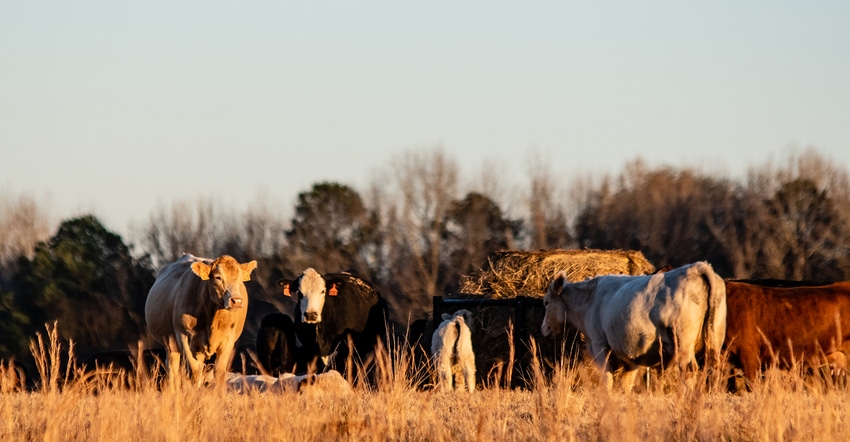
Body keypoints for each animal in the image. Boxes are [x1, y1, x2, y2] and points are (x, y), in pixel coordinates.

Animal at [145, 254, 255, 386]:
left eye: (240, 279)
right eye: (218, 277)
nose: (236, 301)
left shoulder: (228, 339)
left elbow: (219, 371)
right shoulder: (185, 335)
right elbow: (194, 370)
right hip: (171, 344)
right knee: (174, 369)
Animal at [540, 260, 724, 392]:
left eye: (546, 302)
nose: (544, 329)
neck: (590, 298)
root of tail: (695, 268)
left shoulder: (599, 343)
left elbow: (607, 379)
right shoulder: (631, 354)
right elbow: (626, 383)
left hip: (683, 343)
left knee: (688, 369)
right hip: (714, 341)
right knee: (714, 369)